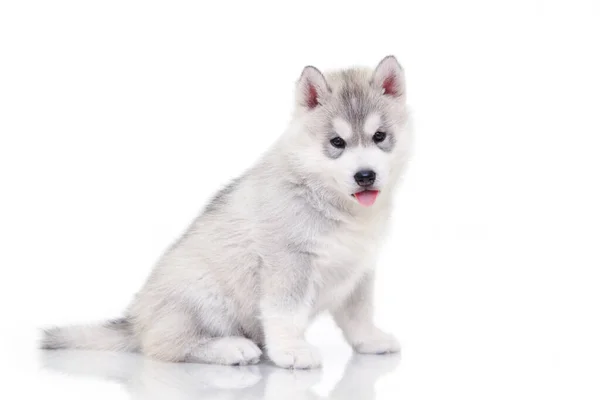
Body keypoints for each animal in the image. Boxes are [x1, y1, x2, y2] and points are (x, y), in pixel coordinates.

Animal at [42, 56, 414, 368]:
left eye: (380, 136)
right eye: (337, 142)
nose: (365, 176)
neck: (332, 201)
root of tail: (135, 322)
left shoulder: (358, 269)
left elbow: (359, 313)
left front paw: (369, 341)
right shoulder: (287, 261)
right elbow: (286, 313)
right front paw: (291, 351)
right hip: (204, 295)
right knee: (164, 345)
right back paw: (230, 348)